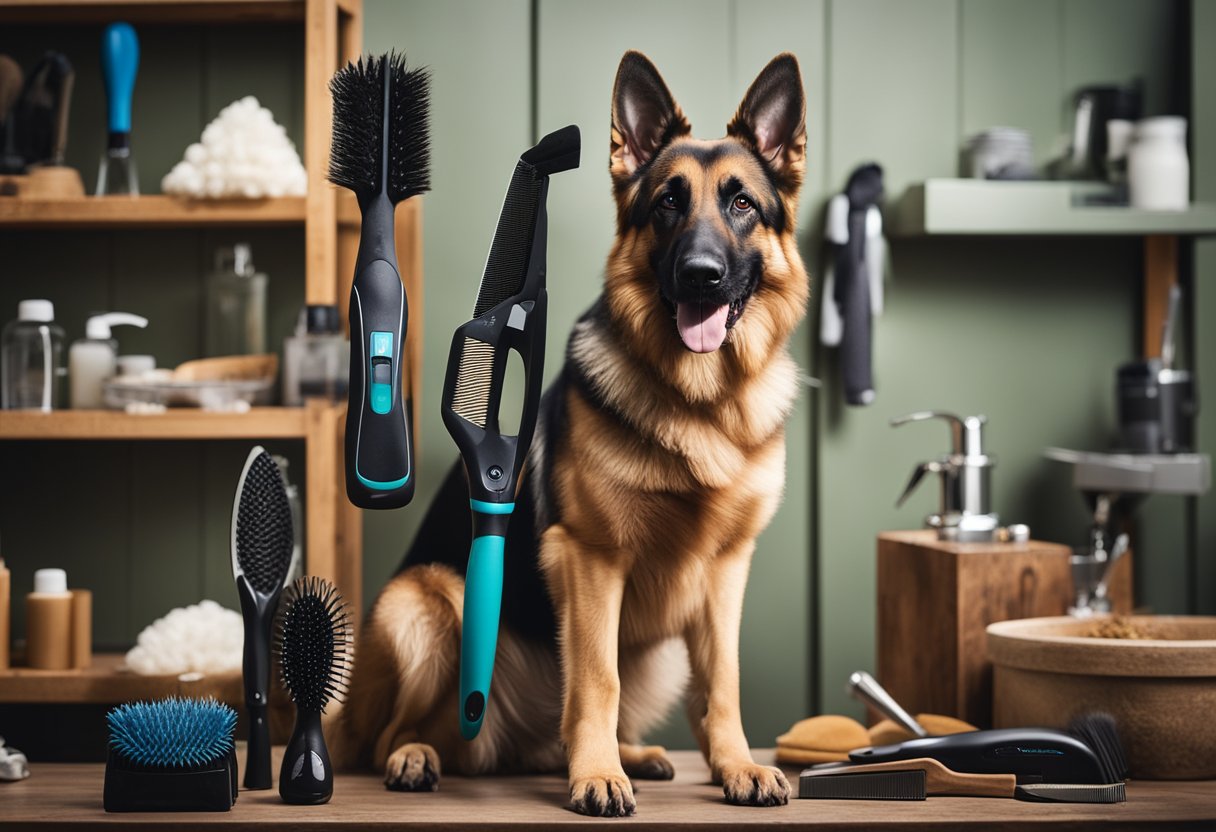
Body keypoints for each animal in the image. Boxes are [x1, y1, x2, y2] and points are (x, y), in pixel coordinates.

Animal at [333, 48, 807, 817]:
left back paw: (629, 755)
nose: (701, 277)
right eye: (668, 202)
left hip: (657, 651)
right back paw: (419, 756)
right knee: (395, 734)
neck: (699, 402)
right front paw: (599, 776)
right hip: (428, 602)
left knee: (553, 736)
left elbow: (723, 684)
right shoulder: (590, 559)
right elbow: (595, 679)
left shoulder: (726, 571)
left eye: (742, 204)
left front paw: (735, 764)